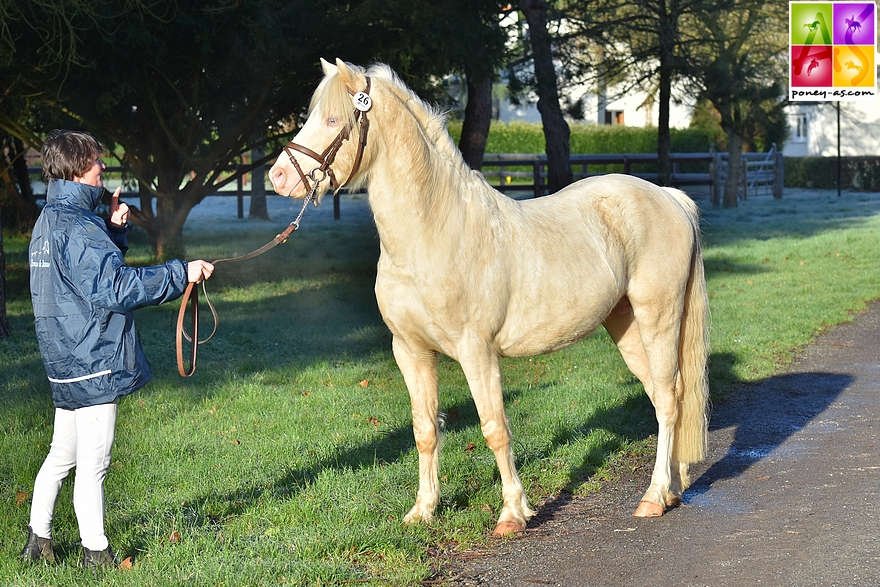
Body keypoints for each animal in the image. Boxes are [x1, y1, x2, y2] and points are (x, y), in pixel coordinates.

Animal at [268, 59, 708, 536]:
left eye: (334, 120)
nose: (278, 176)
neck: (432, 232)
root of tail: (668, 196)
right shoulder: (410, 350)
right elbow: (424, 429)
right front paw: (423, 511)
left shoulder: (476, 350)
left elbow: (494, 427)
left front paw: (513, 514)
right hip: (624, 323)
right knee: (660, 396)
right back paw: (673, 488)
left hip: (658, 316)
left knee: (669, 397)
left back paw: (653, 497)